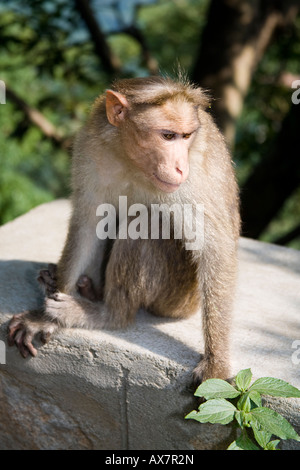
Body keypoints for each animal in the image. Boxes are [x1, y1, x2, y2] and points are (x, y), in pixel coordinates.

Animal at [8, 76, 240, 386]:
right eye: (168, 136)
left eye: (187, 136)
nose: (180, 167)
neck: (133, 161)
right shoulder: (90, 144)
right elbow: (88, 222)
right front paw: (44, 318)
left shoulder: (195, 173)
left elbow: (214, 248)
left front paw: (216, 365)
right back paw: (81, 288)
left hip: (177, 298)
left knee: (146, 222)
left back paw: (109, 314)